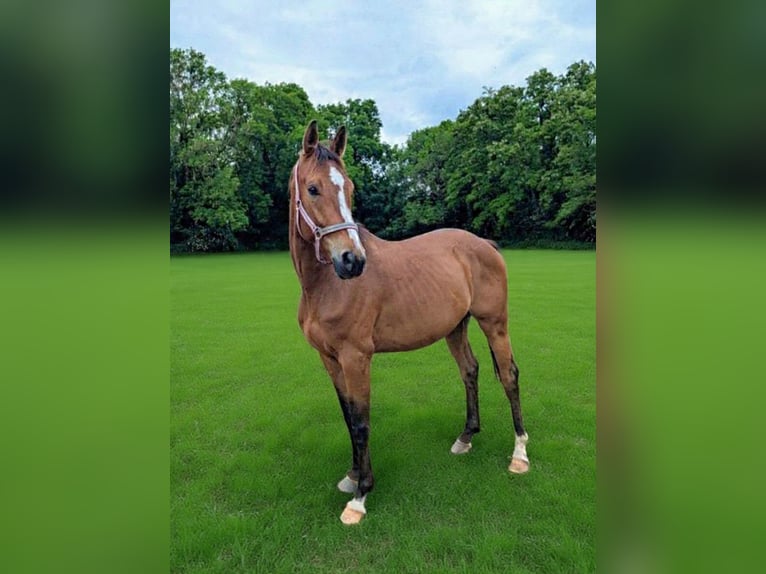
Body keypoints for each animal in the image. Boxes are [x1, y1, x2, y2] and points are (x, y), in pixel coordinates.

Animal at [288, 120, 529, 525]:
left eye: (349, 188)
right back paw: (466, 437)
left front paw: (360, 496)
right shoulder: (330, 359)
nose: (352, 261)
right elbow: (347, 416)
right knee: (470, 370)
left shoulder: (356, 358)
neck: (325, 286)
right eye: (313, 188)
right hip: (455, 328)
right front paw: (351, 476)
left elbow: (362, 421)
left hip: (494, 322)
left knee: (509, 375)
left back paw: (519, 454)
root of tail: (484, 244)